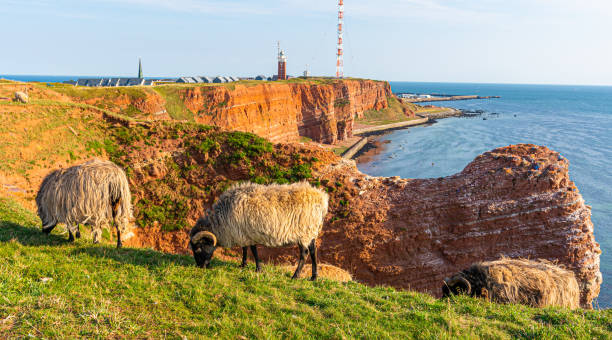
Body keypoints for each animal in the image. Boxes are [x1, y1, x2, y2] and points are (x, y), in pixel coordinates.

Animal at [189, 182, 328, 280]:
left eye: (198, 249)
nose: (200, 267)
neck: (221, 222)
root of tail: (322, 199)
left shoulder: (248, 234)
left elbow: (253, 251)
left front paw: (257, 269)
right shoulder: (244, 234)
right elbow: (245, 249)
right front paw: (243, 265)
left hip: (304, 232)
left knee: (304, 253)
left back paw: (295, 276)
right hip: (311, 232)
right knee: (313, 251)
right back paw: (314, 277)